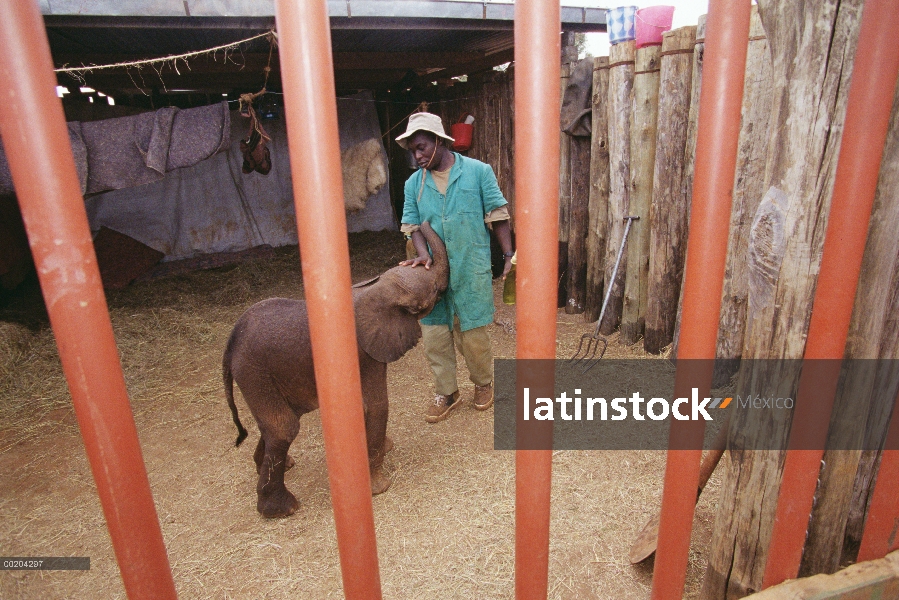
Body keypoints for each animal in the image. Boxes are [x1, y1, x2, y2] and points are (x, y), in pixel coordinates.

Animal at [223, 220, 448, 516]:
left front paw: (385, 450)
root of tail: (231, 343)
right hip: (254, 372)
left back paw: (283, 465)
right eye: (433, 292)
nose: (422, 222)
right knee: (284, 427)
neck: (375, 290)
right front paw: (380, 488)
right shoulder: (364, 352)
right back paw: (283, 509)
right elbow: (376, 405)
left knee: (274, 424)